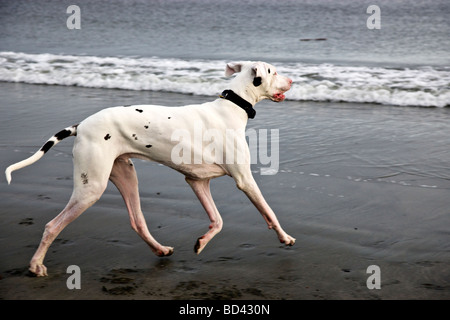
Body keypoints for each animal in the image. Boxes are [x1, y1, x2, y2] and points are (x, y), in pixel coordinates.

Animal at [7, 61, 296, 276]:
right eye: (274, 71)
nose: (293, 81)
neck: (232, 106)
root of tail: (82, 125)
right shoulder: (244, 180)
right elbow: (269, 212)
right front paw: (285, 237)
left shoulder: (197, 182)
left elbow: (218, 220)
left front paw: (202, 241)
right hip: (91, 189)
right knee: (52, 226)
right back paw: (35, 265)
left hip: (126, 176)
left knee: (137, 221)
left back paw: (160, 250)